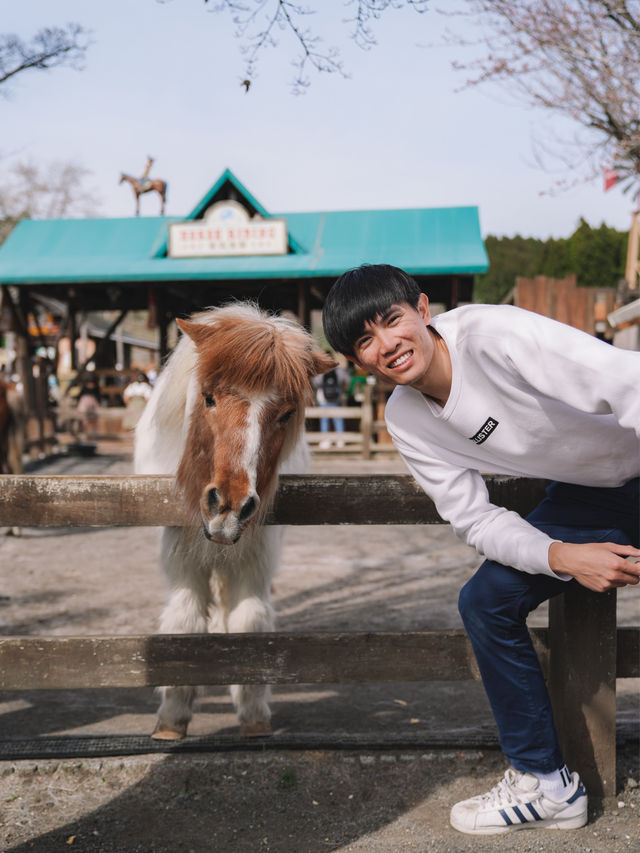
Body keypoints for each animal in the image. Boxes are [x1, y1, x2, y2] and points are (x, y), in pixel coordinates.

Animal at [135, 302, 336, 736]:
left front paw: (253, 712)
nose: (229, 505)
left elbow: (250, 624)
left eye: (286, 414)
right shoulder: (181, 554)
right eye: (208, 397)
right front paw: (173, 715)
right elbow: (184, 623)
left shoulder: (256, 556)